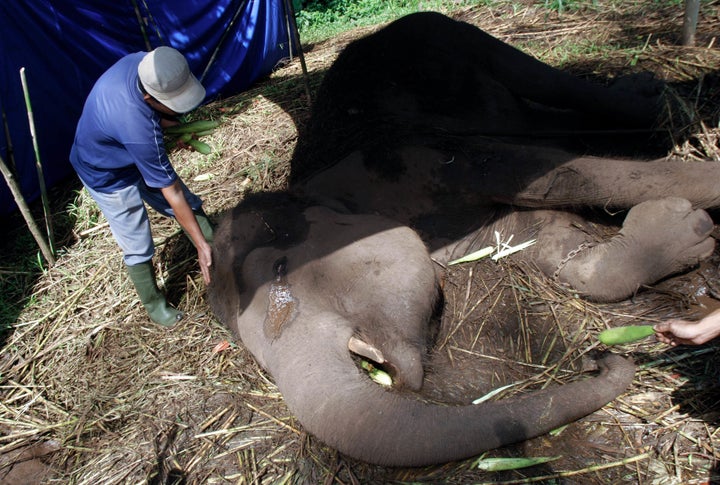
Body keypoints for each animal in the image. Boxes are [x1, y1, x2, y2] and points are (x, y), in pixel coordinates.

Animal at [207, 11, 716, 466]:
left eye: (280, 270)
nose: (601, 360)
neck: (316, 185)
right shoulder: (459, 233)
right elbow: (541, 240)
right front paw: (683, 228)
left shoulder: (423, 157)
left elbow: (561, 176)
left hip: (449, 32)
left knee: (545, 80)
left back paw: (651, 98)